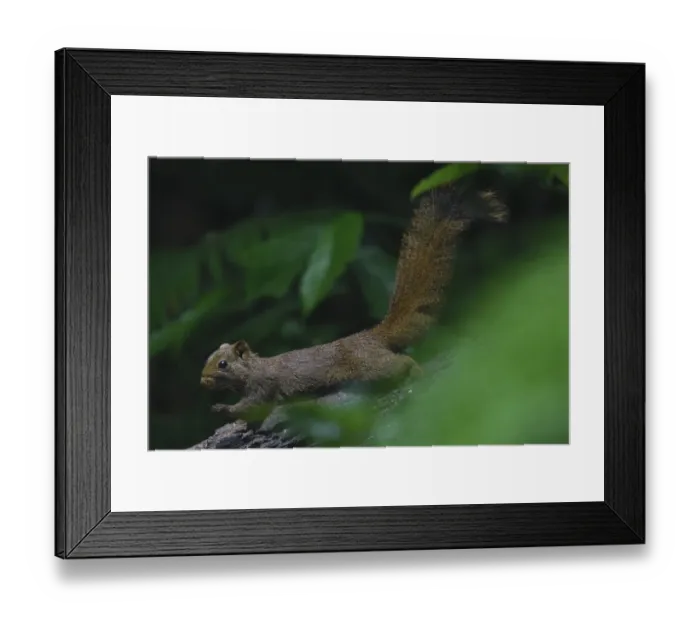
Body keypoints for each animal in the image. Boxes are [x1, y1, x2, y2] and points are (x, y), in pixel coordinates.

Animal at [200, 183, 508, 418]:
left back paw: (416, 370)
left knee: (400, 362)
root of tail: (372, 337)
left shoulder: (263, 386)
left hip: (372, 368)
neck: (253, 369)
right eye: (208, 358)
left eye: (223, 364)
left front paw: (223, 409)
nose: (203, 379)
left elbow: (251, 406)